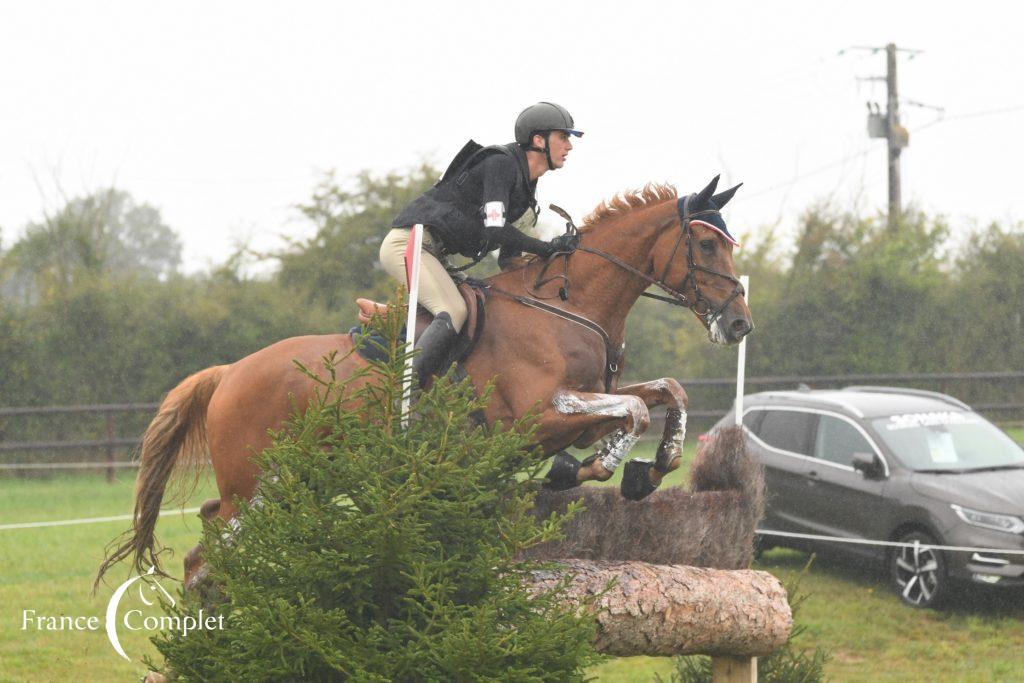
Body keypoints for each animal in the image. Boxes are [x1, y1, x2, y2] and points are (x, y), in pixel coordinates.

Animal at [96, 174, 753, 585]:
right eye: (703, 244)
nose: (739, 323)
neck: (569, 304)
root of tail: (230, 371)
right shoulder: (535, 419)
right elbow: (633, 414)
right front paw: (582, 471)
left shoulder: (593, 401)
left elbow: (666, 394)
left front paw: (646, 472)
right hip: (254, 483)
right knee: (206, 551)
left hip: (293, 480)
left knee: (211, 533)